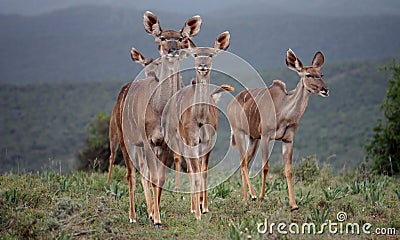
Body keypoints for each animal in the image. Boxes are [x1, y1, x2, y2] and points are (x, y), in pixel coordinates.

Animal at [121, 11, 203, 228]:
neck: (158, 108)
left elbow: (161, 178)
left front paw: (155, 216)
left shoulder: (164, 142)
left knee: (144, 174)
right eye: (162, 37)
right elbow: (153, 176)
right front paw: (156, 219)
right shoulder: (148, 140)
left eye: (181, 38)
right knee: (132, 175)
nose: (173, 50)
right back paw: (133, 216)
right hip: (128, 142)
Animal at [162, 31, 231, 219]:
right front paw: (198, 213)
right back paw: (194, 207)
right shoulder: (191, 140)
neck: (200, 117)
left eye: (211, 55)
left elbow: (204, 171)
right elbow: (195, 172)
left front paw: (205, 207)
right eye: (195, 54)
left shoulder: (208, 141)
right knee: (191, 170)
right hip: (183, 142)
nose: (202, 65)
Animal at [227, 49, 330, 211]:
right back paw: (253, 196)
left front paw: (293, 205)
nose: (325, 89)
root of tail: (230, 104)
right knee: (243, 162)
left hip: (253, 139)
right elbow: (265, 167)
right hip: (239, 134)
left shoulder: (287, 140)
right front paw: (262, 196)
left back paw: (245, 198)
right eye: (308, 74)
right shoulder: (266, 137)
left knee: (245, 163)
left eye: (321, 74)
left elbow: (288, 170)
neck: (283, 111)